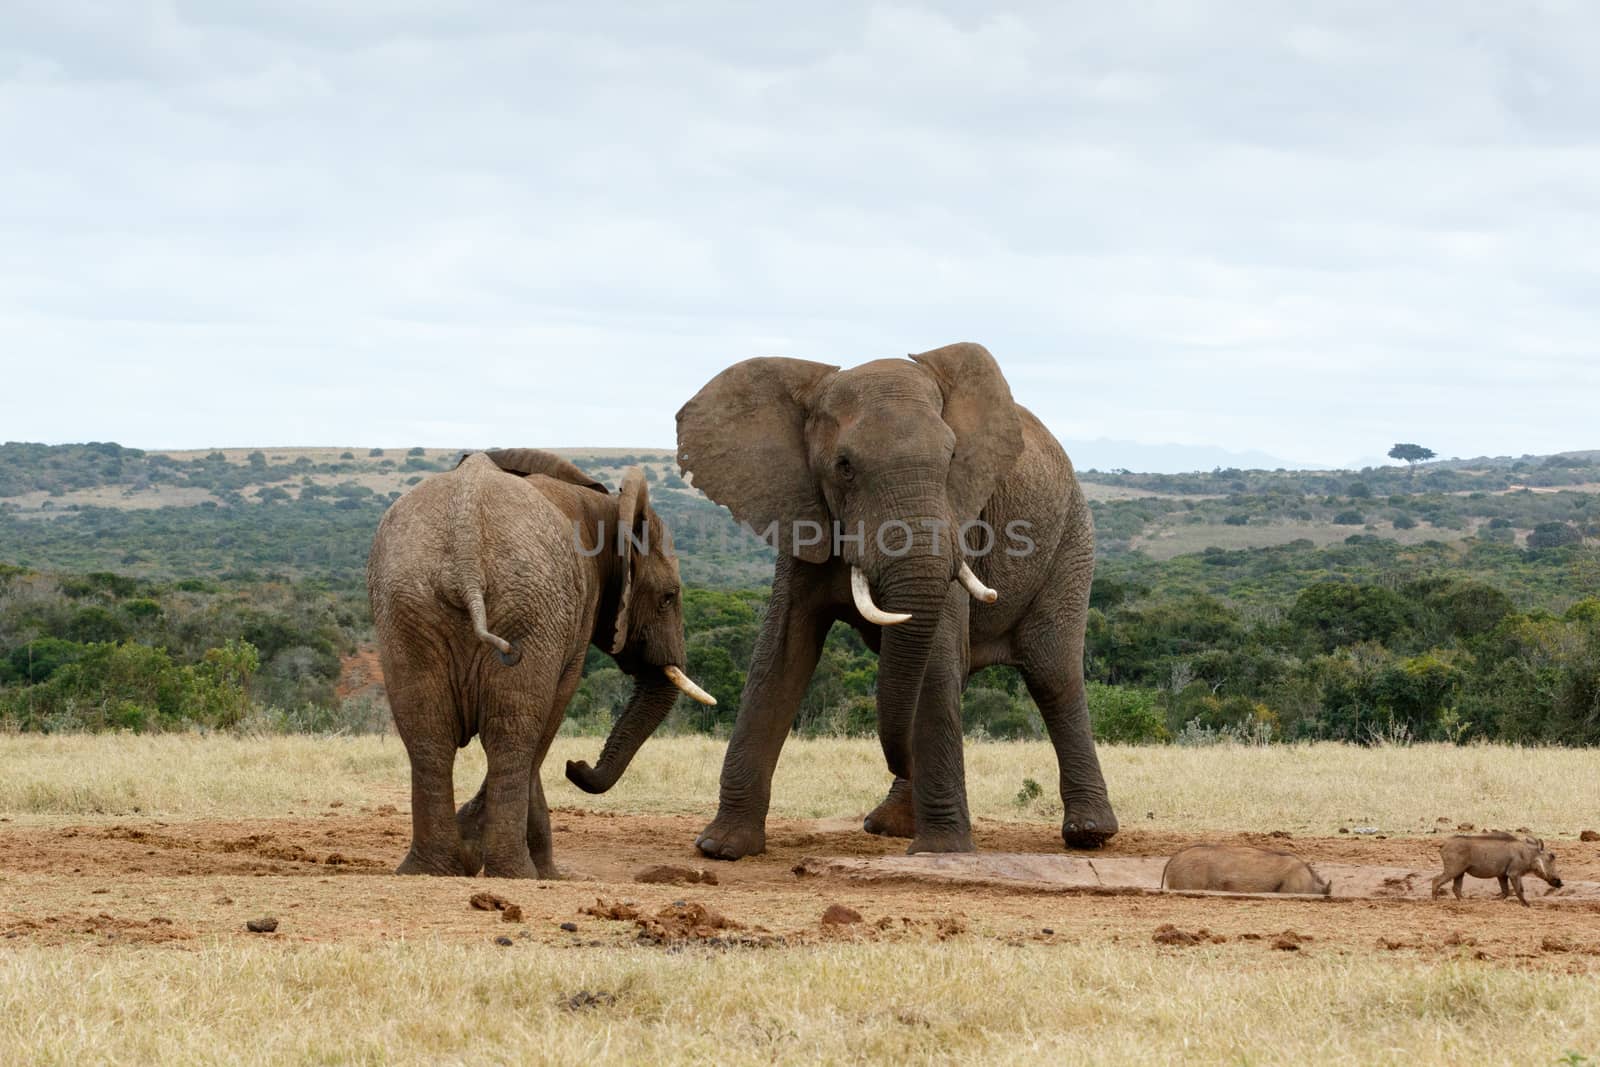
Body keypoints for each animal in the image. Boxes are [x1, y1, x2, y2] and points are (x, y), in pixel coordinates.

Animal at [368, 447, 713, 876]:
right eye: (669, 596)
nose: (576, 765)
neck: (607, 506)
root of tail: (465, 545)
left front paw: (470, 850)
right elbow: (552, 715)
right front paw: (542, 871)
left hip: (407, 605)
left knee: (428, 730)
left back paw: (428, 870)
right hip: (526, 606)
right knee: (513, 734)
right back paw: (517, 873)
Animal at [681, 342, 1120, 857]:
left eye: (952, 458)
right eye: (844, 466)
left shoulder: (958, 523)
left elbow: (935, 661)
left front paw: (941, 853)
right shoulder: (802, 514)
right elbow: (781, 656)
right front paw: (721, 848)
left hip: (1072, 539)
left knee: (1053, 673)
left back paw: (1089, 834)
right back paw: (891, 825)